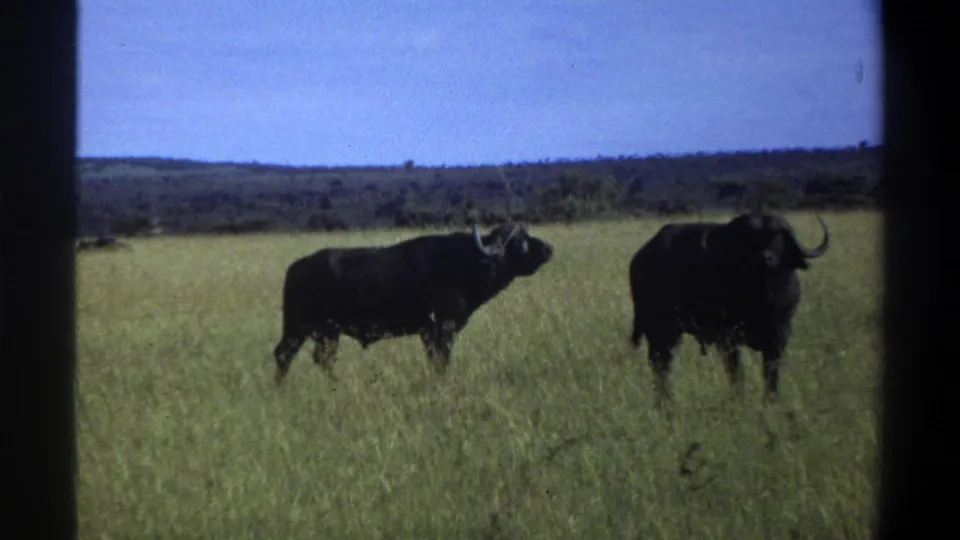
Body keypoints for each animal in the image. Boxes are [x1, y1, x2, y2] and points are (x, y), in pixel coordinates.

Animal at [273, 221, 554, 384]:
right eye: (519, 242)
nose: (549, 248)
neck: (467, 262)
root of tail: (296, 268)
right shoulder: (442, 327)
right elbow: (442, 360)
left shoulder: (428, 332)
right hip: (306, 328)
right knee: (292, 355)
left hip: (317, 331)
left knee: (308, 357)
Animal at [628, 212, 830, 403]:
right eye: (749, 238)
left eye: (777, 236)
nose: (764, 258)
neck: (762, 298)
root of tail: (640, 258)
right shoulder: (727, 339)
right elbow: (736, 373)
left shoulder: (780, 336)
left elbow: (771, 373)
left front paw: (770, 400)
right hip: (662, 330)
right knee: (660, 363)